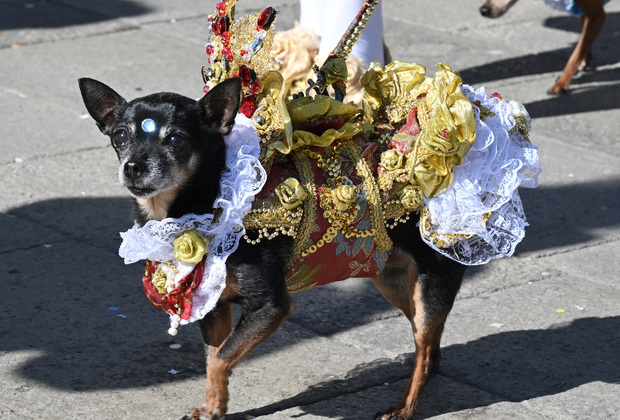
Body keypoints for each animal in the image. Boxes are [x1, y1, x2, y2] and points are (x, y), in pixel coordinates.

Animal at [77, 76, 464, 420]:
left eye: (176, 139)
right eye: (120, 136)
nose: (133, 167)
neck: (208, 201)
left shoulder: (270, 307)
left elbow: (221, 357)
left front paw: (214, 405)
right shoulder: (214, 307)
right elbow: (214, 358)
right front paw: (214, 407)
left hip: (430, 284)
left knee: (424, 348)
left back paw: (403, 409)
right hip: (395, 281)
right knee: (429, 346)